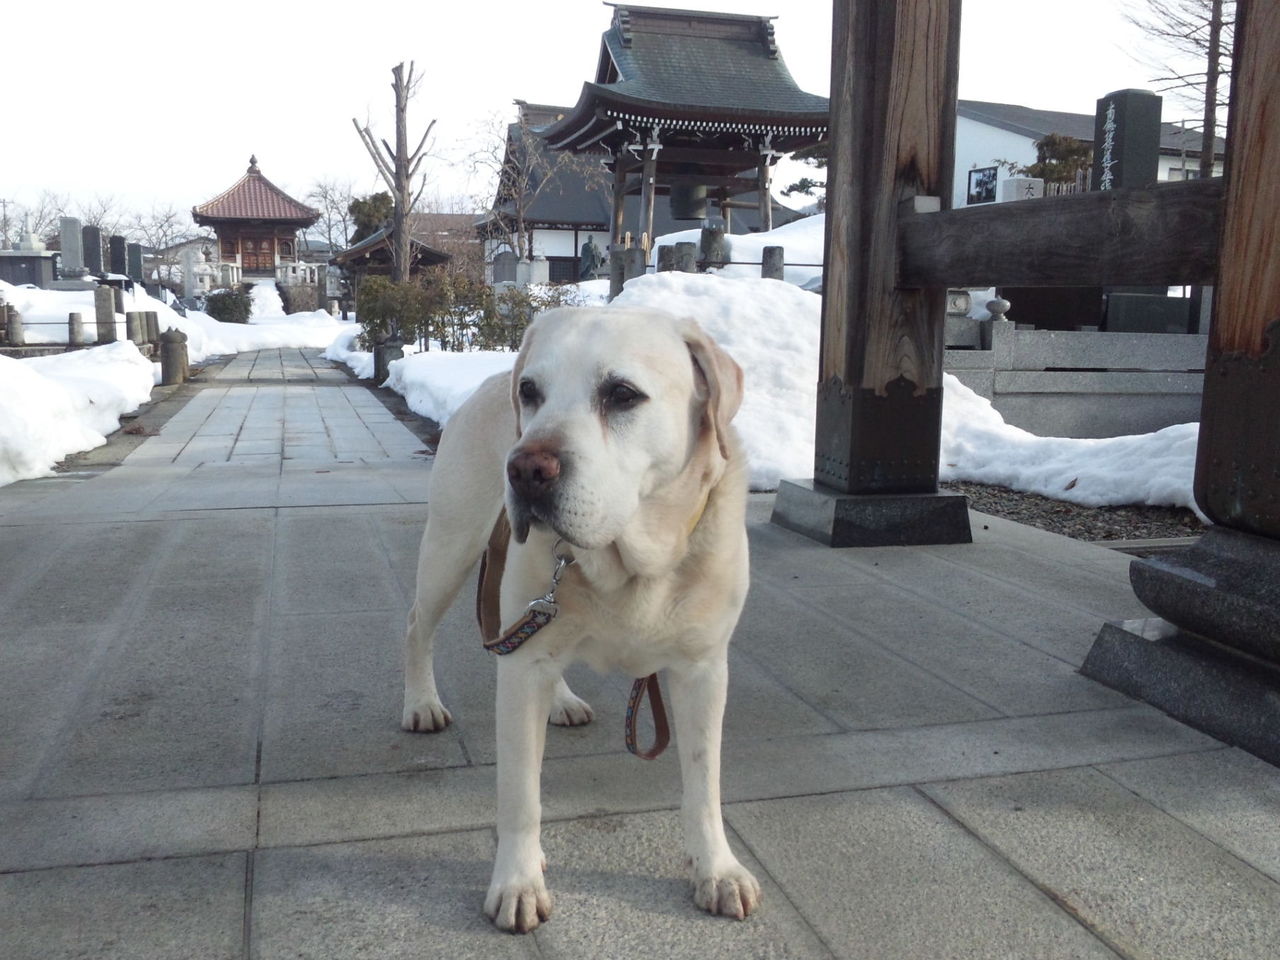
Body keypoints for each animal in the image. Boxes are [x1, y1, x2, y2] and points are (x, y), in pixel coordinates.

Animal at [401, 305, 757, 931]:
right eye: (531, 392)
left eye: (622, 394)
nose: (524, 469)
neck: (630, 563)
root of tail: (488, 377)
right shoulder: (520, 672)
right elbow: (521, 791)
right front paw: (518, 881)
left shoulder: (704, 668)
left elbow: (703, 779)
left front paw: (716, 868)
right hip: (451, 546)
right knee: (419, 624)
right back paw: (421, 703)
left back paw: (562, 699)